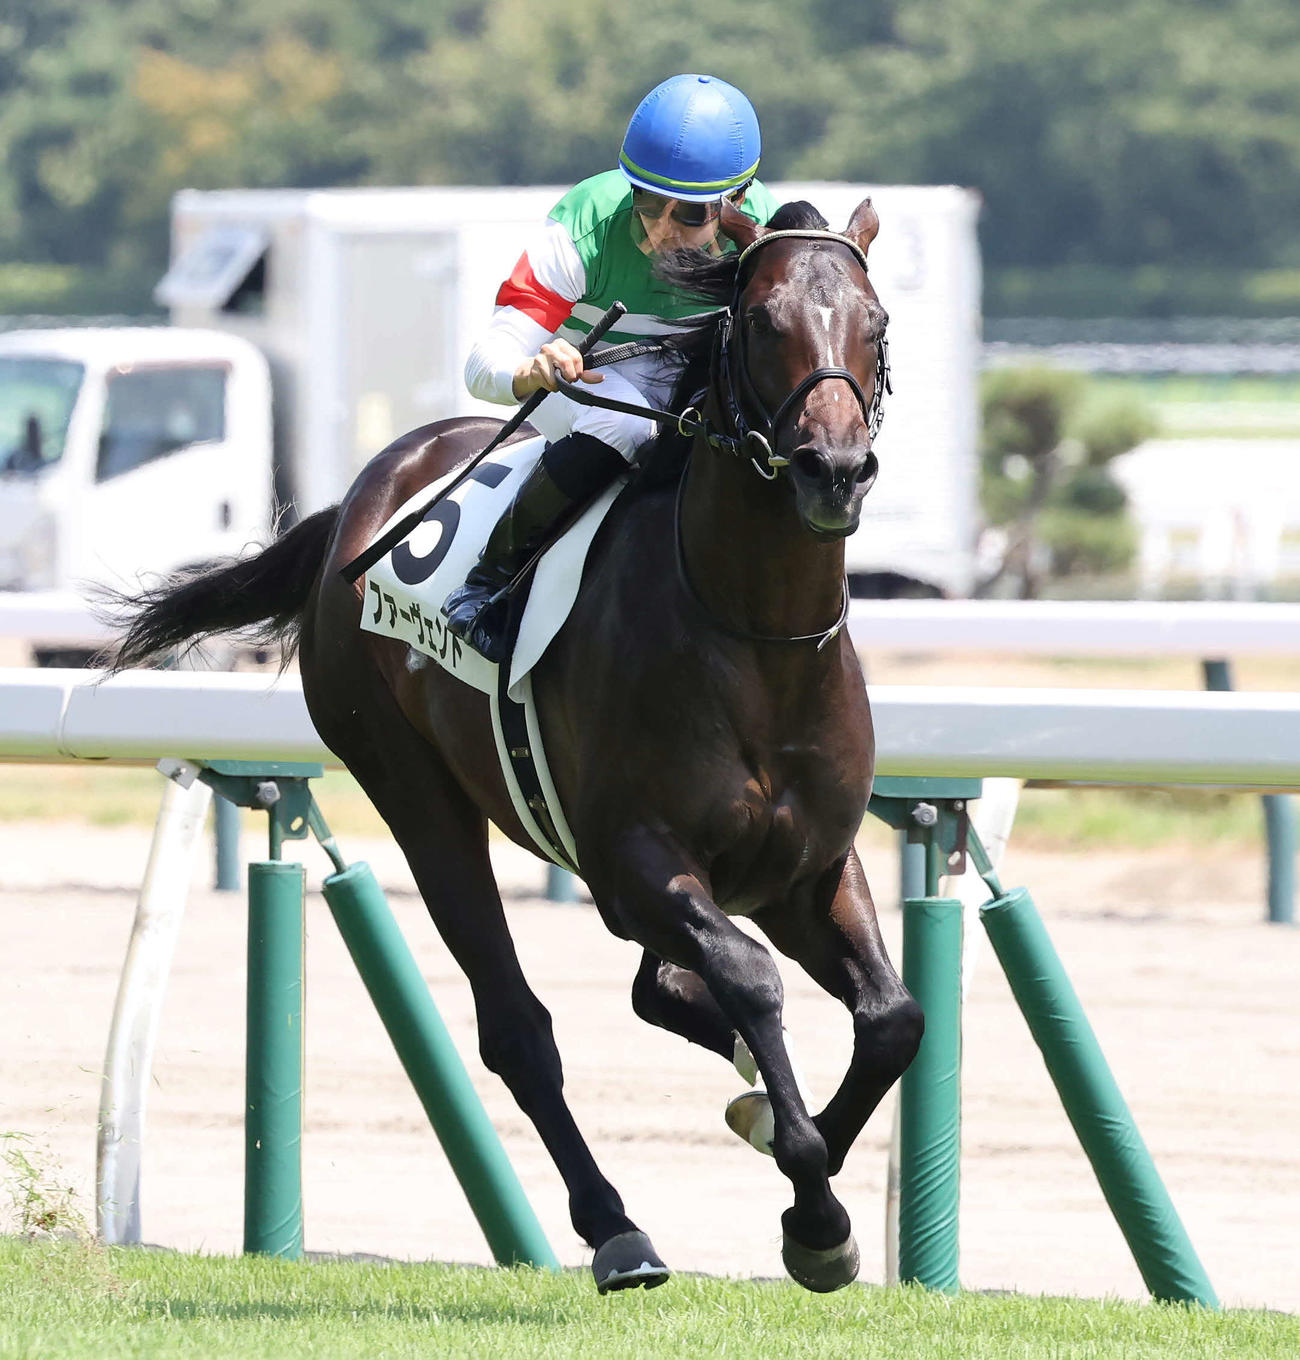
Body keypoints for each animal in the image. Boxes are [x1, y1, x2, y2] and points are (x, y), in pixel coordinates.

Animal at [108, 197, 923, 1294]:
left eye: (875, 323)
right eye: (761, 322)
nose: (833, 470)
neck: (753, 640)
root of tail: (357, 501)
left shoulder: (810, 867)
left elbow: (890, 1018)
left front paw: (801, 1167)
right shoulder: (634, 861)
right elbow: (752, 979)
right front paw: (815, 1206)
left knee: (659, 990)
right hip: (414, 791)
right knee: (519, 1029)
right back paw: (617, 1231)